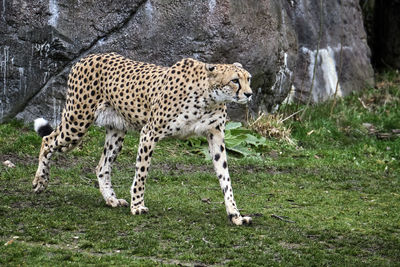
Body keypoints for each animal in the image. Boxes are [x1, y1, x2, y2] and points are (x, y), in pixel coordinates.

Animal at [33, 52, 253, 226]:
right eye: (235, 80)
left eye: (248, 79)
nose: (249, 94)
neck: (209, 98)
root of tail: (88, 57)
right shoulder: (149, 132)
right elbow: (142, 172)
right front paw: (137, 205)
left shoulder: (215, 136)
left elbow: (225, 178)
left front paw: (235, 215)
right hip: (77, 121)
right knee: (48, 140)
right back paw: (40, 182)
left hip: (116, 131)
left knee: (102, 166)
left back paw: (111, 200)